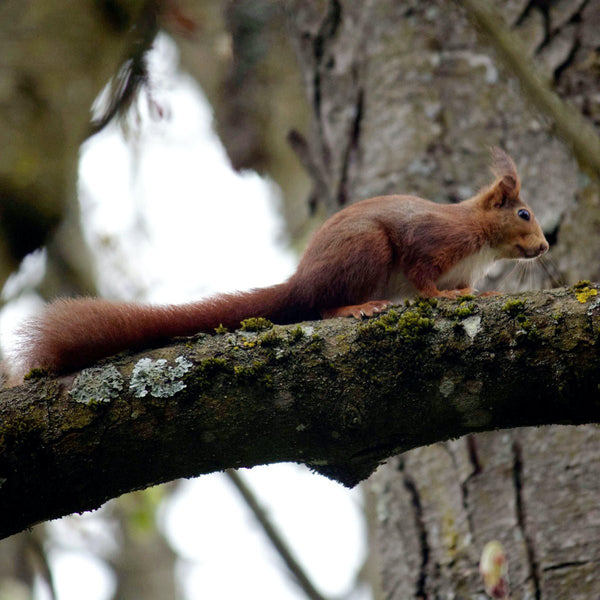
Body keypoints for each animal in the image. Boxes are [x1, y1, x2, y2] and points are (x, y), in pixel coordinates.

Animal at [10, 149, 548, 376]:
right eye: (524, 213)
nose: (544, 247)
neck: (480, 241)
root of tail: (301, 282)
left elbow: (465, 289)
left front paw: (481, 291)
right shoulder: (432, 242)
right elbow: (423, 279)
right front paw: (442, 297)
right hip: (364, 251)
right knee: (322, 307)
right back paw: (353, 308)